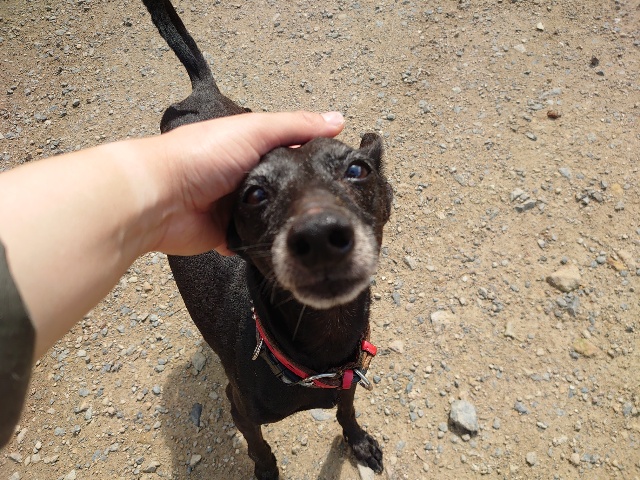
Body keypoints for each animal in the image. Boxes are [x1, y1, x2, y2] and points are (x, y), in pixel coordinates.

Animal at [142, 1, 392, 478]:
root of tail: (200, 95)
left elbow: (347, 409)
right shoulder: (240, 409)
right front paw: (266, 470)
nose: (320, 234)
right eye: (254, 194)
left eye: (357, 169)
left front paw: (357, 441)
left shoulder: (348, 379)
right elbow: (259, 447)